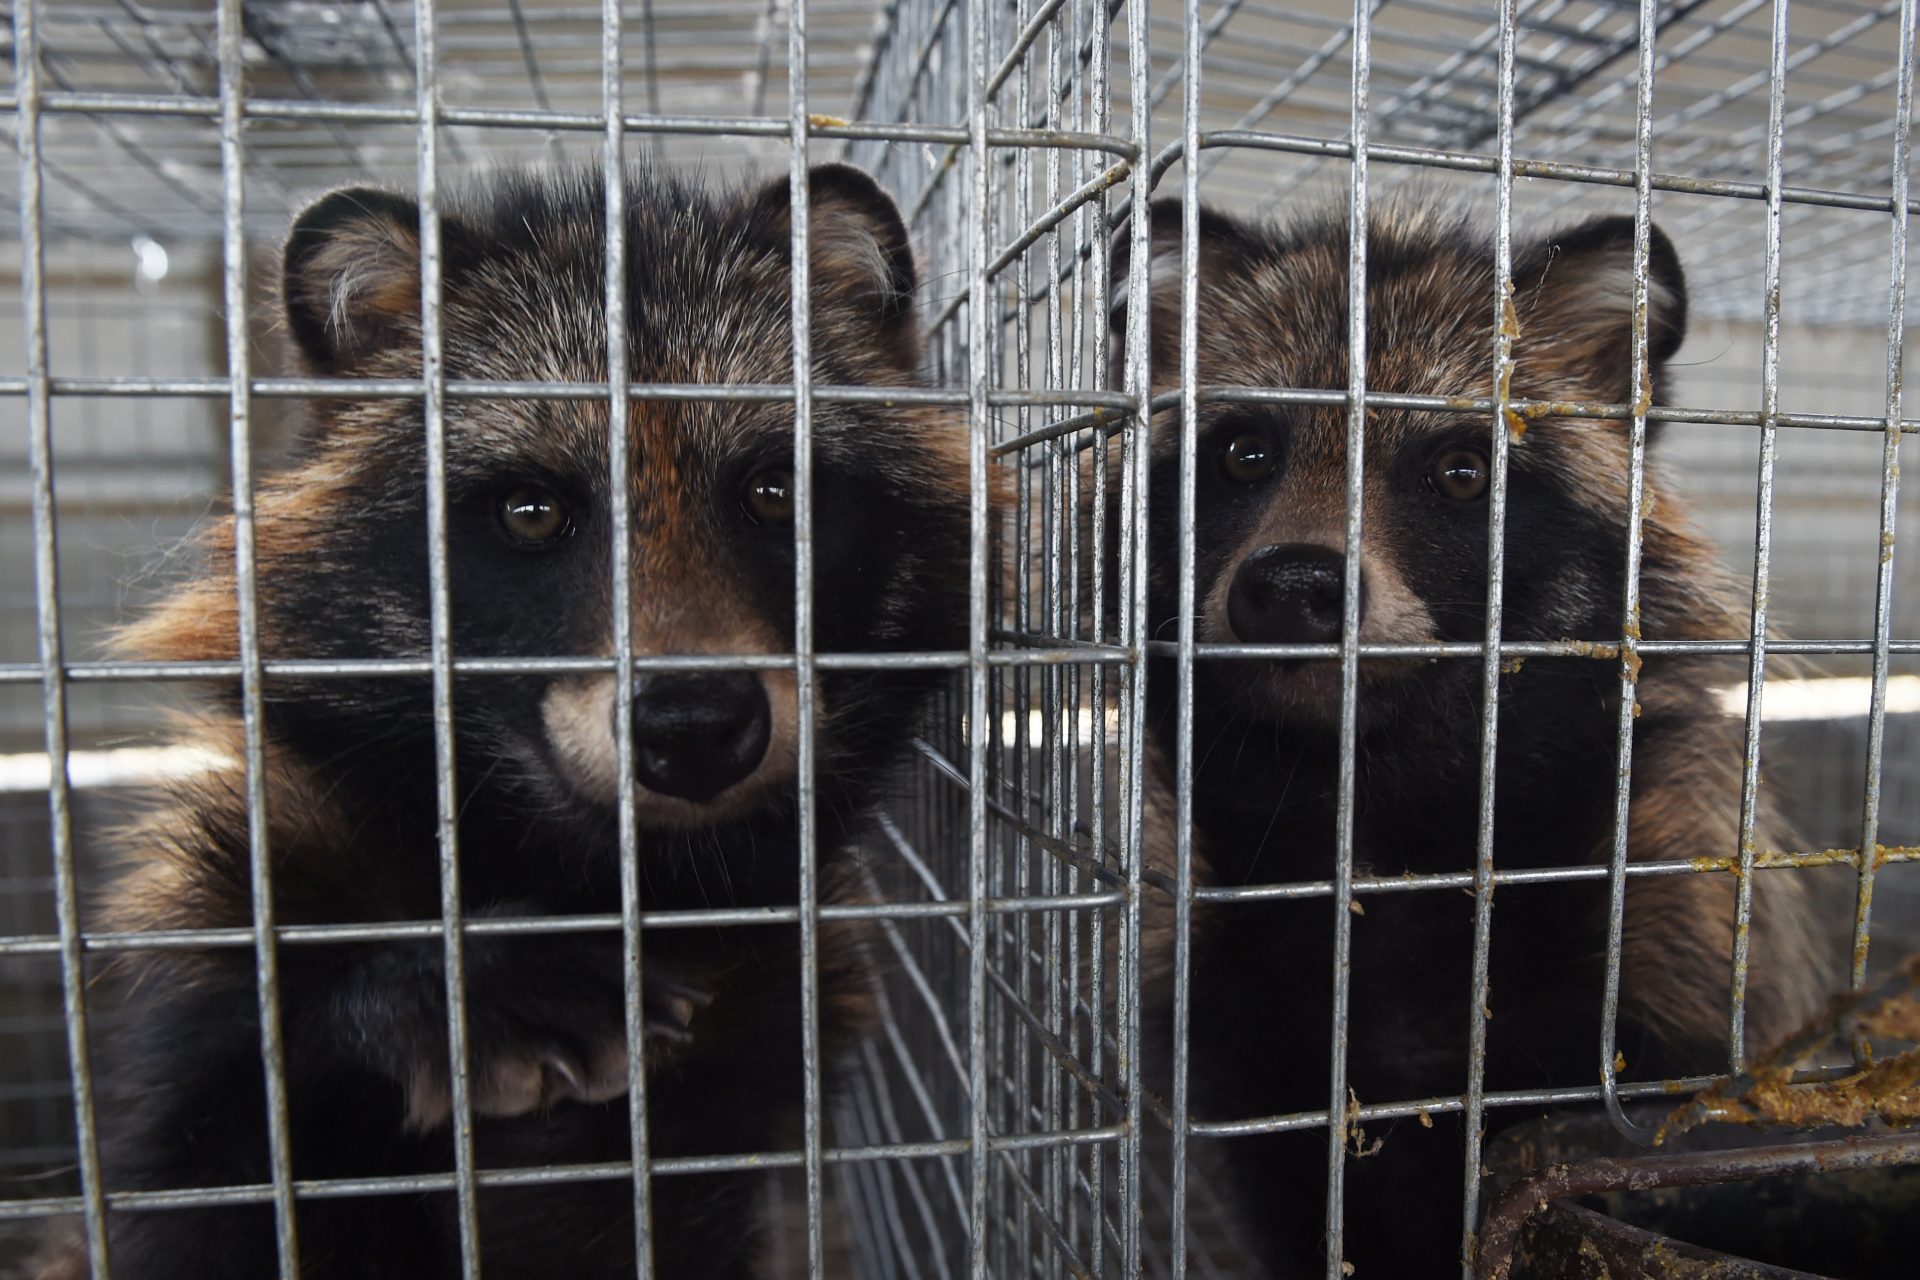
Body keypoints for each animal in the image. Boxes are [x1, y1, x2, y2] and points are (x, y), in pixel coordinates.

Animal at [61, 165, 975, 1274]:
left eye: (773, 492)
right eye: (531, 512)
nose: (696, 724)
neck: (601, 871)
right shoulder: (229, 902)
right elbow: (206, 1173)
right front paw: (405, 990)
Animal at [1128, 205, 1835, 1274]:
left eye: (1461, 474)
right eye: (1244, 452)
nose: (1291, 588)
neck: (1382, 807)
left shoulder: (1674, 915)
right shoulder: (1243, 1019)